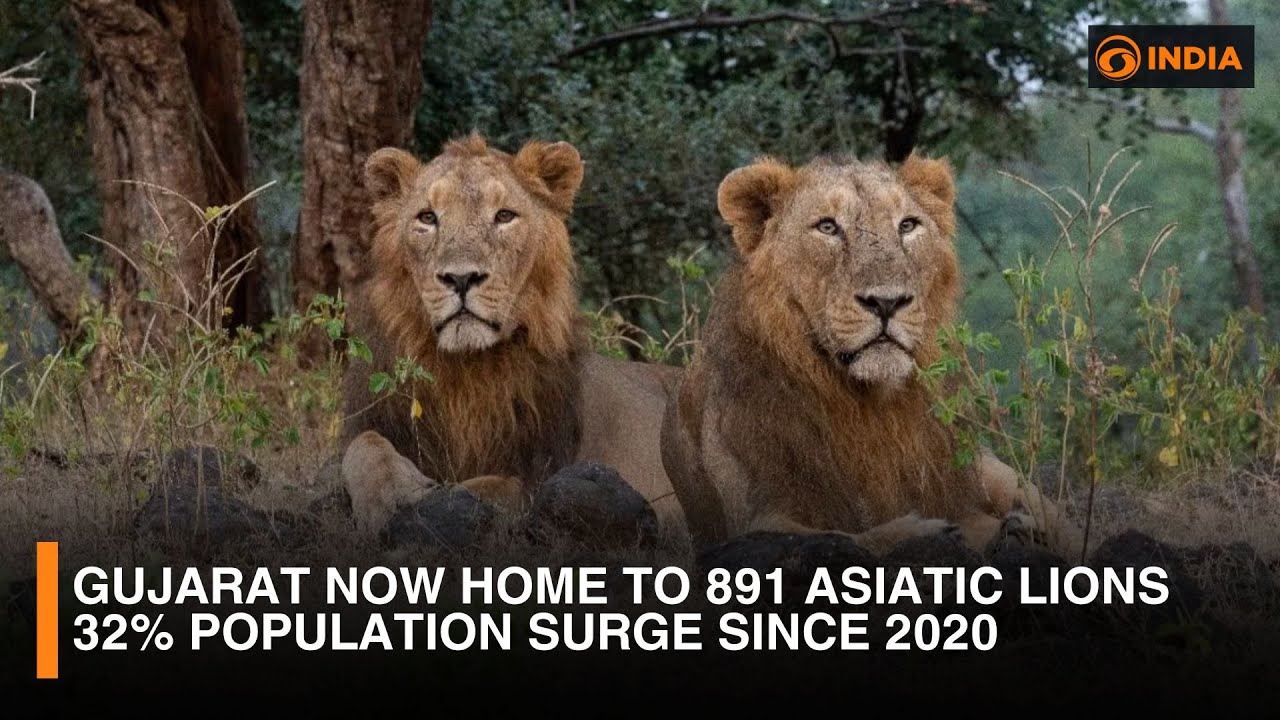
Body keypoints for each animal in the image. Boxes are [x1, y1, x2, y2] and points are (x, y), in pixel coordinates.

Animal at [339, 134, 684, 541]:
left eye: (504, 216)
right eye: (427, 217)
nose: (461, 278)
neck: (465, 371)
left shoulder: (537, 470)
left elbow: (491, 487)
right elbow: (363, 445)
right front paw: (390, 495)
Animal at [660, 153, 1080, 557]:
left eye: (908, 225)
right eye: (827, 227)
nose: (887, 302)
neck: (867, 406)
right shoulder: (755, 517)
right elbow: (846, 537)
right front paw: (929, 531)